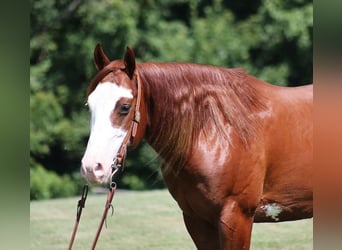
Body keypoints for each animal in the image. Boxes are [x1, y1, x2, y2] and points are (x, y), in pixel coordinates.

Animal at [80, 44, 312, 249]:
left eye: (125, 107)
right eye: (90, 105)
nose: (92, 167)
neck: (214, 131)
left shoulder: (237, 217)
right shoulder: (196, 219)